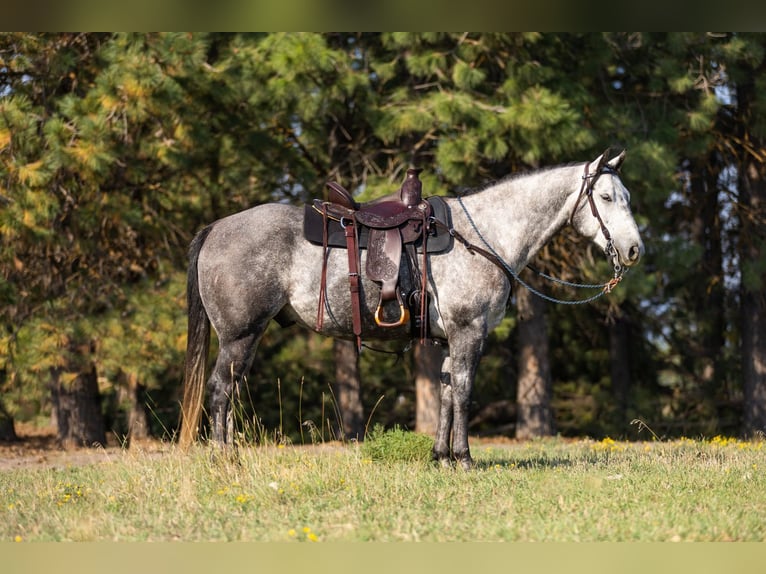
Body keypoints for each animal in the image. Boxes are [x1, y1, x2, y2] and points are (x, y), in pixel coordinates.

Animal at [183, 148, 644, 468]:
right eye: (605, 196)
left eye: (627, 196)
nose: (634, 250)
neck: (485, 235)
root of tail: (215, 228)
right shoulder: (468, 331)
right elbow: (463, 391)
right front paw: (465, 458)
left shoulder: (448, 338)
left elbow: (445, 391)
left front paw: (441, 457)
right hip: (240, 336)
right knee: (221, 390)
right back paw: (223, 459)